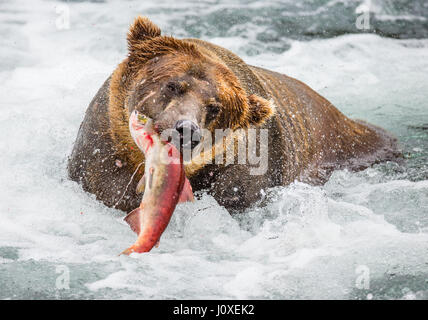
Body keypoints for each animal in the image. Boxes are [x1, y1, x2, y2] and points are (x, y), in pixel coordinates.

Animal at [67, 16, 402, 212]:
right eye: (173, 84)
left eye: (215, 107)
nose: (185, 129)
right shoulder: (101, 147)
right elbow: (108, 183)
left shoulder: (248, 166)